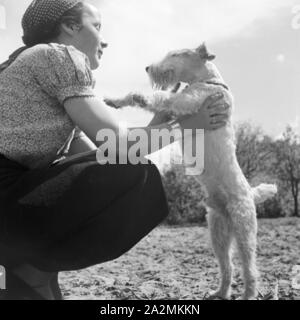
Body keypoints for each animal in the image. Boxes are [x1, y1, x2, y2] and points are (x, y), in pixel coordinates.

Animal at [106, 43, 278, 300]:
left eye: (176, 54)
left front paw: (136, 96)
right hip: (218, 233)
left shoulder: (184, 102)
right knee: (227, 267)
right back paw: (220, 292)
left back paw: (247, 294)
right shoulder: (176, 110)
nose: (147, 67)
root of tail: (250, 193)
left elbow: (159, 97)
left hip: (244, 231)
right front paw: (114, 100)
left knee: (250, 270)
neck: (208, 80)